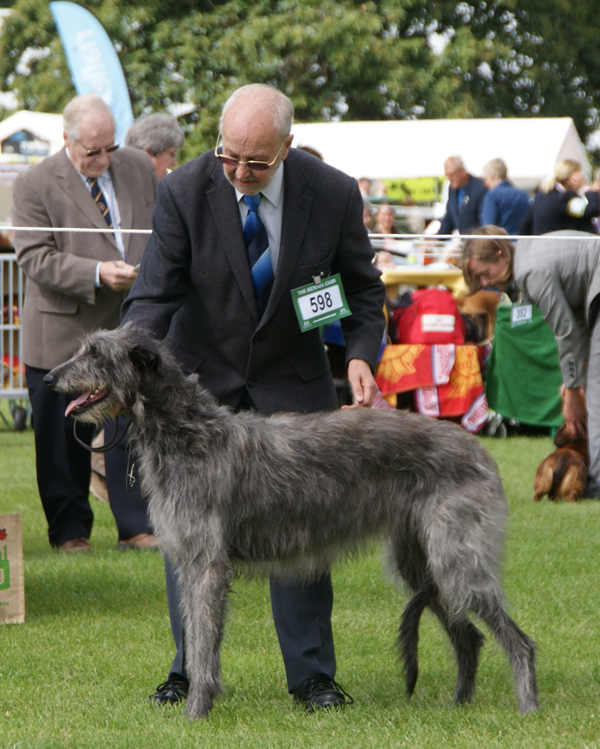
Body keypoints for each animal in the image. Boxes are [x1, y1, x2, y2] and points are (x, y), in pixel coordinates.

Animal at [44, 324, 536, 716]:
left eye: (95, 353)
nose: (49, 377)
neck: (189, 433)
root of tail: (478, 448)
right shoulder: (188, 562)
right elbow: (197, 637)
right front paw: (196, 702)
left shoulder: (206, 565)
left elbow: (203, 644)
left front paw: (196, 712)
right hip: (421, 562)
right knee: (469, 638)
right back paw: (460, 706)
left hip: (457, 558)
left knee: (519, 642)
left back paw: (527, 708)